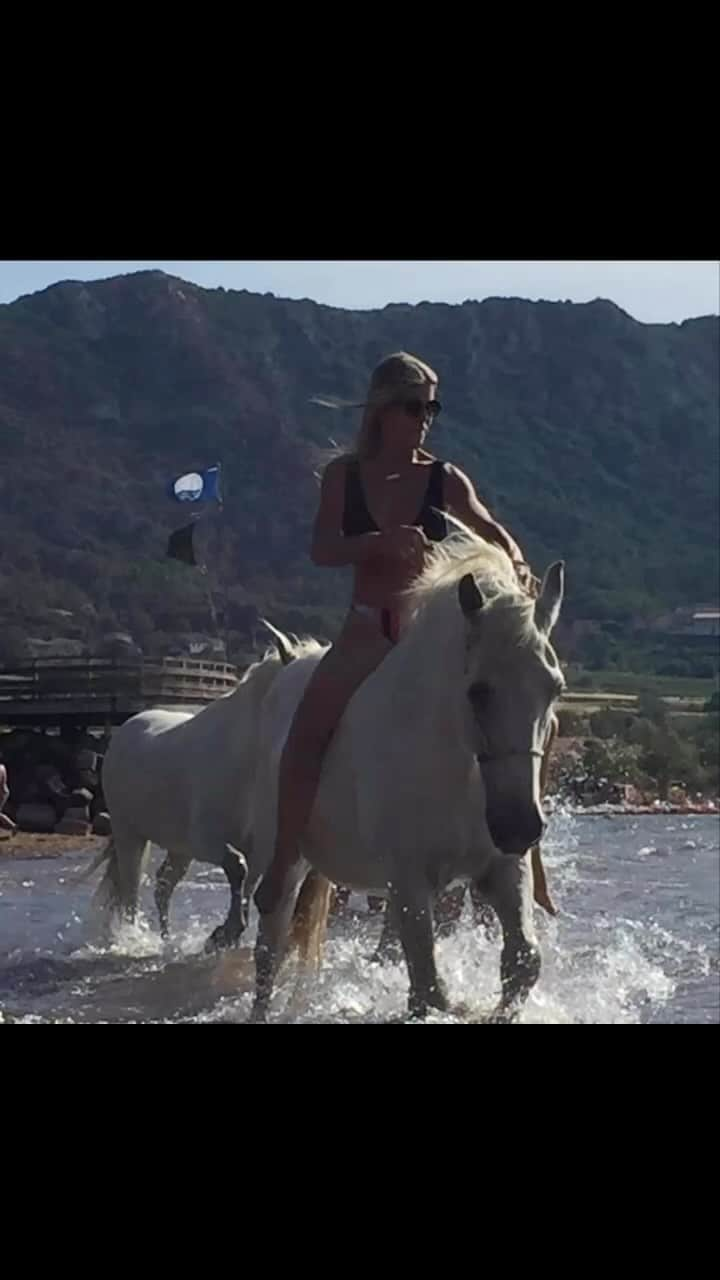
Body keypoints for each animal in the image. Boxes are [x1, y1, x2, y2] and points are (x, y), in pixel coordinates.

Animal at [249, 535, 563, 1024]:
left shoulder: (502, 870)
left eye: (555, 688)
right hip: (283, 856)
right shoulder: (409, 880)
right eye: (478, 691)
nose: (520, 827)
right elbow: (429, 989)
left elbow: (522, 963)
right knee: (270, 947)